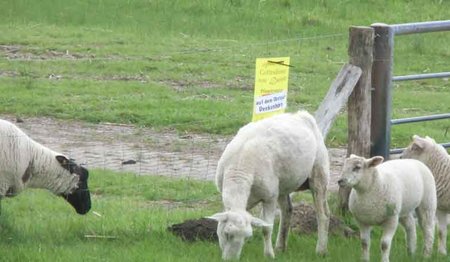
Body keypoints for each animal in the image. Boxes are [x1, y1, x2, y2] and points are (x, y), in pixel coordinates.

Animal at [208, 110, 330, 260]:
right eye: (227, 234)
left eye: (246, 238)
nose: (231, 260)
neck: (240, 169)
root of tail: (301, 115)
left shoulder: (269, 198)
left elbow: (267, 228)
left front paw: (269, 255)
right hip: (282, 185)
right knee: (287, 210)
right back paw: (280, 247)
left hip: (319, 172)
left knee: (323, 215)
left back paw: (321, 250)